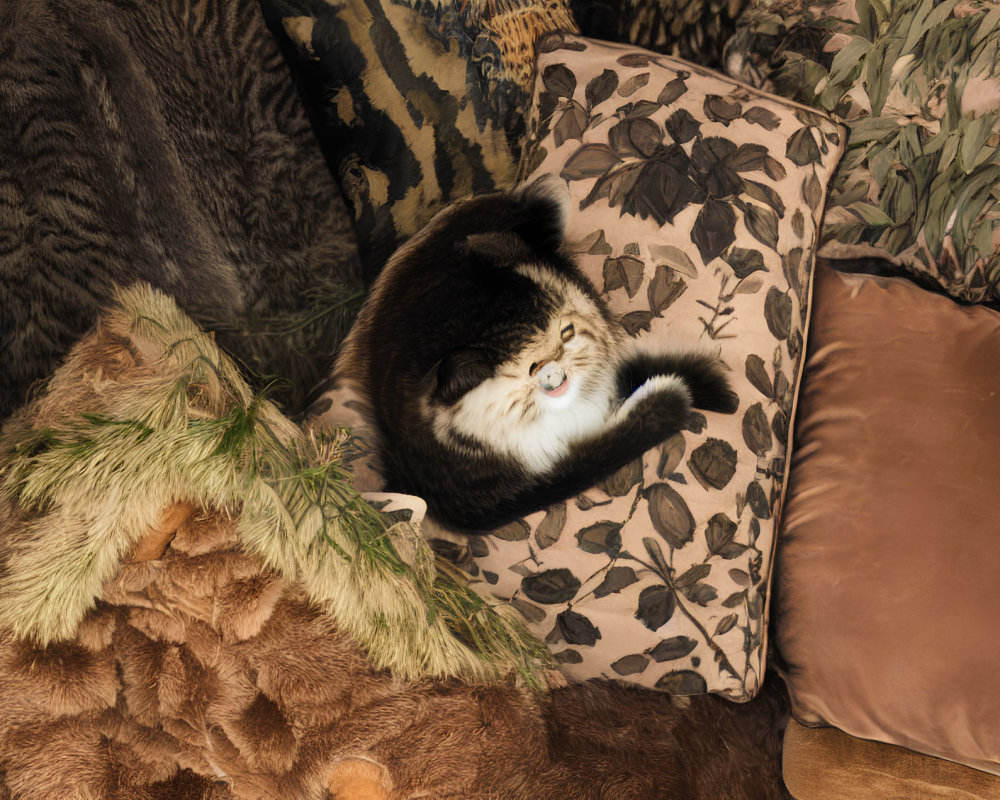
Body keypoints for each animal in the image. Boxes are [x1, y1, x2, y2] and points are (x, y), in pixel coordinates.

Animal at [340, 175, 740, 532]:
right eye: (531, 368)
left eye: (567, 333)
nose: (557, 373)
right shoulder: (489, 498)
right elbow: (594, 457)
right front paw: (677, 396)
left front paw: (717, 392)